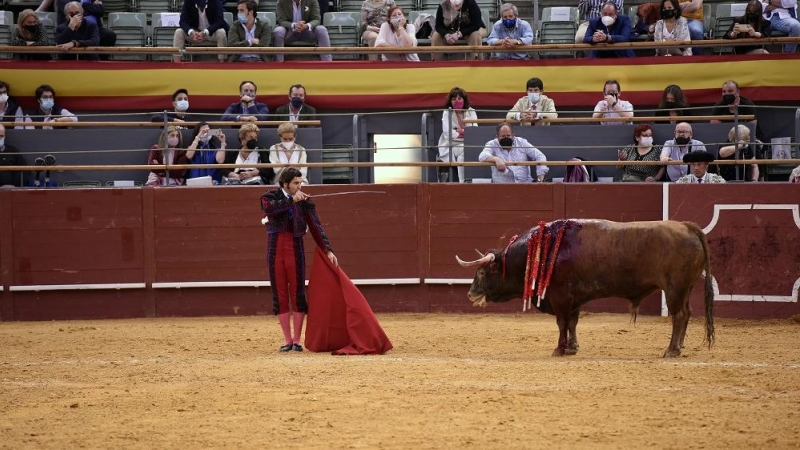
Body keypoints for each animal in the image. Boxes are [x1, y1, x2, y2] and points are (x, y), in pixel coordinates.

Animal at [460, 220, 716, 356]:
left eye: (481, 272)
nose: (470, 294)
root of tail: (686, 226)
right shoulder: (574, 299)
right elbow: (573, 322)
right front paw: (572, 348)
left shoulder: (560, 297)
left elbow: (562, 323)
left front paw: (559, 349)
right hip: (684, 289)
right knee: (686, 314)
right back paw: (679, 346)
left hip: (674, 289)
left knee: (679, 315)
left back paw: (671, 350)